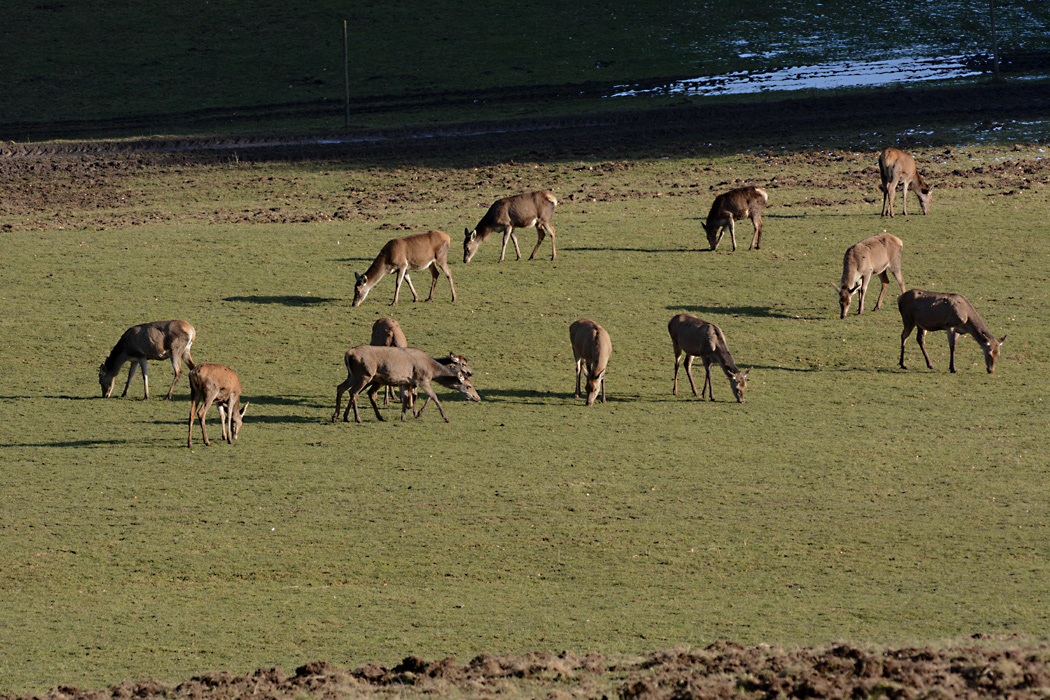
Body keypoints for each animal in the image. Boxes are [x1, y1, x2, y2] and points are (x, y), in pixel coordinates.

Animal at [331, 346, 480, 423]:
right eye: (468, 386)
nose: (477, 398)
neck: (432, 370)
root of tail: (348, 354)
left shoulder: (407, 382)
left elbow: (407, 397)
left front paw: (405, 416)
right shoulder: (421, 379)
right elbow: (433, 396)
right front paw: (446, 417)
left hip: (355, 375)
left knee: (342, 388)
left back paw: (339, 416)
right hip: (365, 374)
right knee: (354, 392)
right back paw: (357, 418)